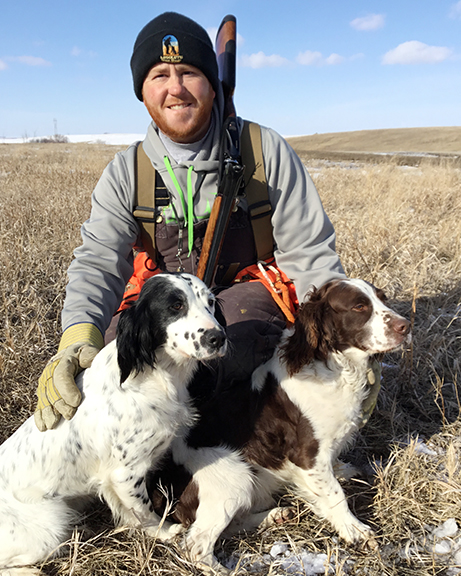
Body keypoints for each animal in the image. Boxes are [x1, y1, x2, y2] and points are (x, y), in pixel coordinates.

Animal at [0, 274, 226, 576]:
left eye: (210, 302)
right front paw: (165, 531)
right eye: (176, 305)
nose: (218, 337)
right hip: (50, 524)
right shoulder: (125, 474)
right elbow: (144, 511)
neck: (155, 373)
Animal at [148, 280, 410, 572]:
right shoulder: (307, 455)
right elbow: (334, 493)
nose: (406, 326)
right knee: (195, 544)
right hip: (234, 477)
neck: (333, 368)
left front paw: (344, 471)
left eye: (383, 299)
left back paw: (275, 516)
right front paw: (355, 530)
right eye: (359, 306)